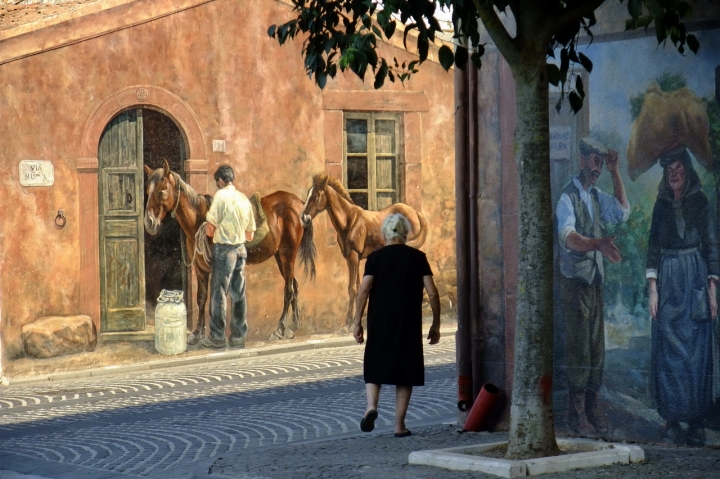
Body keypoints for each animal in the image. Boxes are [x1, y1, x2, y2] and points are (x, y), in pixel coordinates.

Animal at [143, 160, 316, 342]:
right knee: (294, 285)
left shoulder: (217, 269)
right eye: (148, 191)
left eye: (161, 191)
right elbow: (202, 298)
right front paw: (197, 334)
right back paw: (294, 326)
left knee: (288, 290)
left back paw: (280, 328)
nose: (149, 222)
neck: (200, 220)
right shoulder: (201, 269)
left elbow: (216, 300)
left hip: (287, 254)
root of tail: (299, 204)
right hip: (280, 257)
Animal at [300, 174, 428, 332]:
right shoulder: (352, 258)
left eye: (316, 196)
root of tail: (416, 213)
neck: (349, 221)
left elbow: (352, 288)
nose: (303, 218)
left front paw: (348, 324)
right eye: (308, 193)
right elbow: (359, 287)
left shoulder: (353, 256)